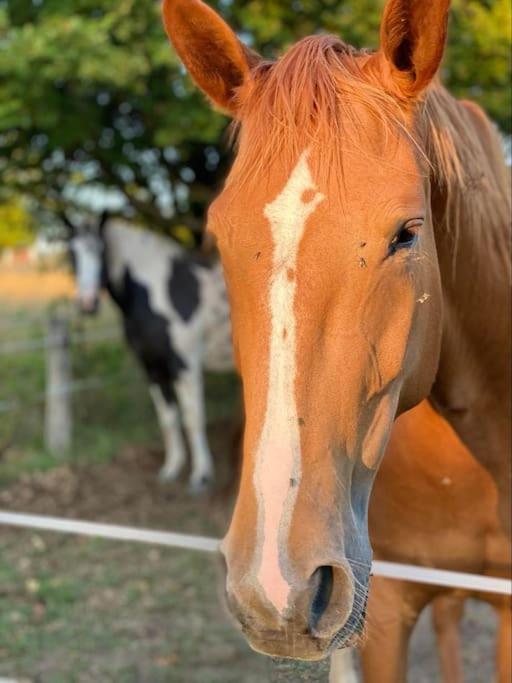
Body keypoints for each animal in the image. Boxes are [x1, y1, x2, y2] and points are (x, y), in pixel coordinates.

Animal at [68, 218, 232, 492]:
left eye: (100, 250)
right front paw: (172, 468)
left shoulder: (185, 366)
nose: (88, 303)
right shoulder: (153, 369)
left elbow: (193, 418)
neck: (158, 291)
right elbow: (168, 418)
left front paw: (201, 477)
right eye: (71, 253)